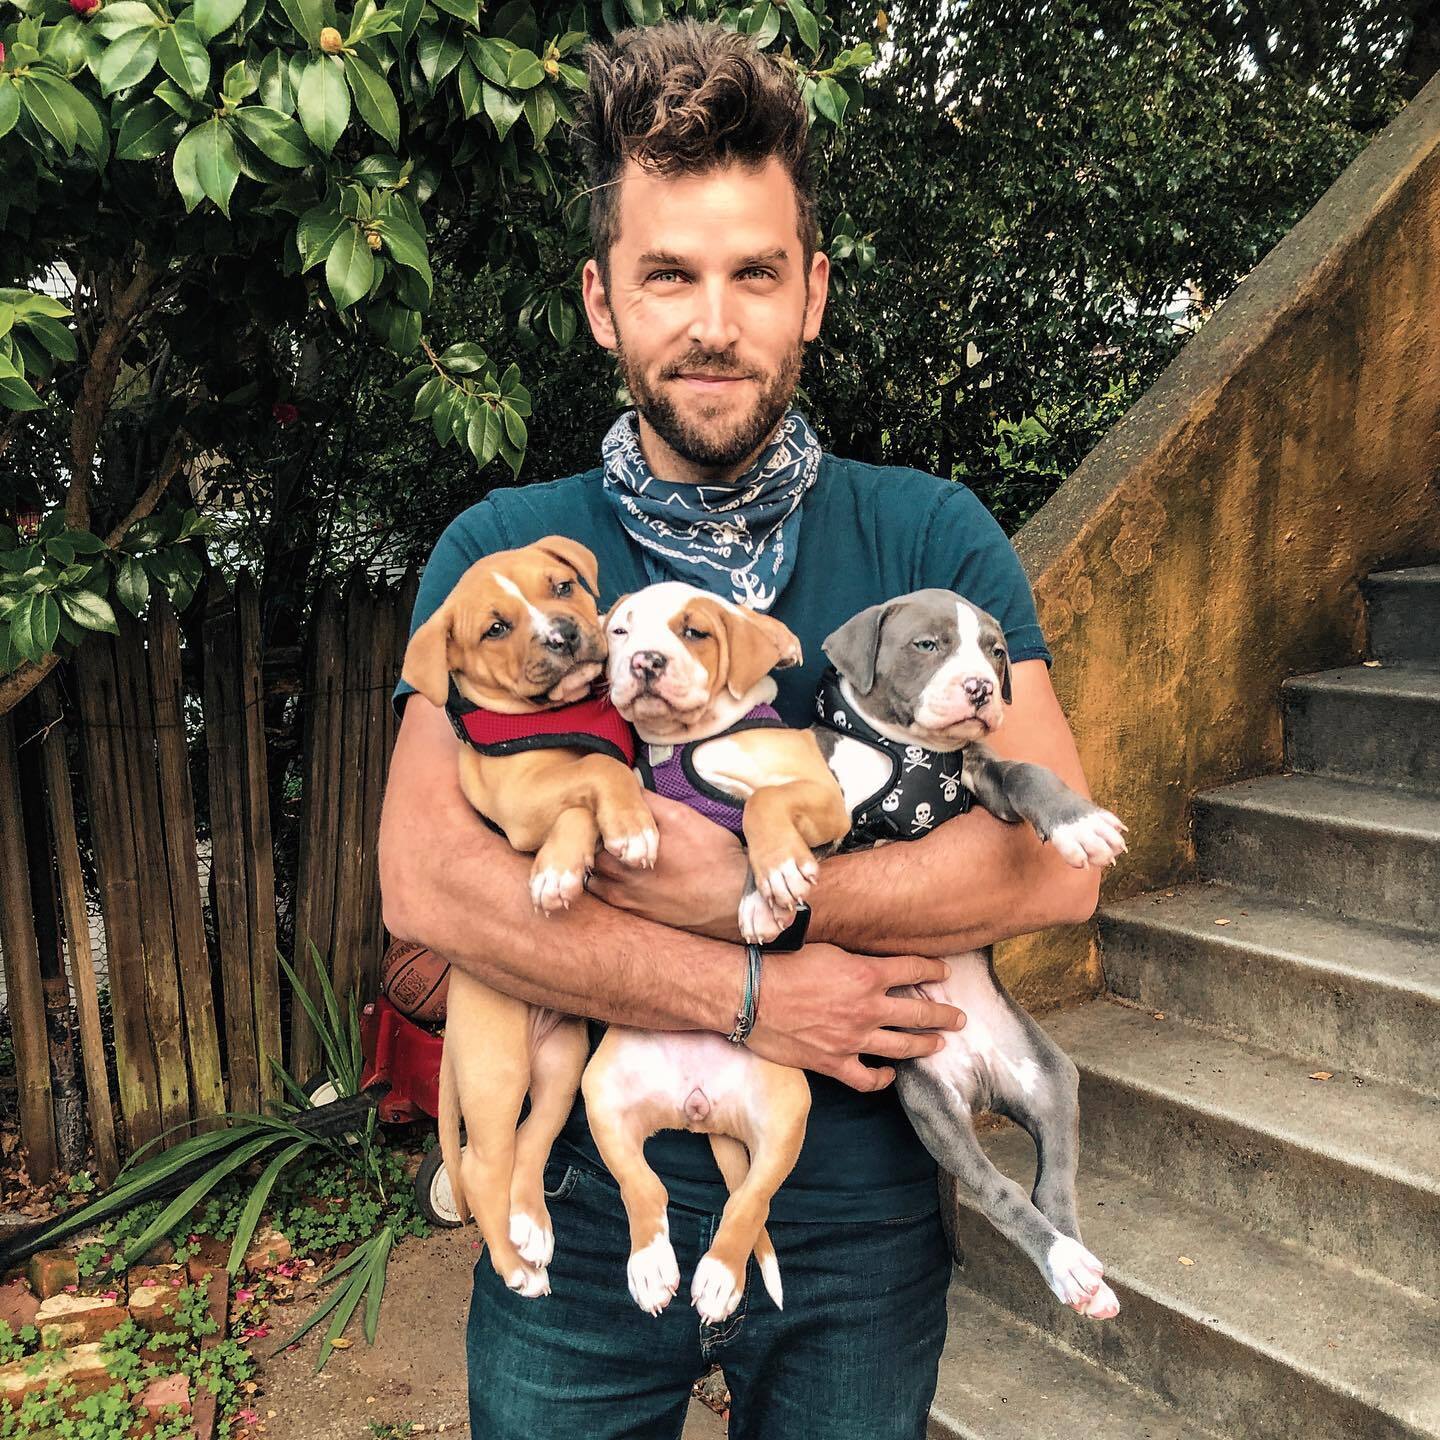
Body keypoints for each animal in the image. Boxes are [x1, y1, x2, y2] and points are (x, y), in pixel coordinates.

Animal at [400, 535, 659, 1301]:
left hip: (561, 1064)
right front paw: (609, 841)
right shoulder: (518, 797)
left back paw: (533, 1231)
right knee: (482, 1162)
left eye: (563, 586)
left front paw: (570, 862)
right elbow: (596, 777)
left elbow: (592, 779)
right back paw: (518, 1270)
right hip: (496, 1072)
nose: (564, 634)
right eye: (495, 628)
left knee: (530, 1144)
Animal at [576, 578, 840, 1319]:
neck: (688, 744)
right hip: (603, 1095)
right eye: (621, 632)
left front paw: (769, 890)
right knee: (646, 1187)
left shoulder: (824, 797)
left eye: (693, 632)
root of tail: (698, 1111)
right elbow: (602, 787)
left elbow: (760, 807)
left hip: (787, 1114)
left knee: (751, 1199)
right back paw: (651, 1266)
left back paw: (720, 1277)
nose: (645, 664)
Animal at [812, 590, 1123, 1319]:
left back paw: (1079, 1272)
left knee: (1048, 1187)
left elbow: (1026, 771)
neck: (909, 749)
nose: (982, 687)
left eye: (997, 652)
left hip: (1050, 1078)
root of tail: (980, 1073)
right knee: (996, 1189)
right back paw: (1070, 1266)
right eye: (927, 645)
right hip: (931, 1103)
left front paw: (1079, 822)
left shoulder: (985, 781)